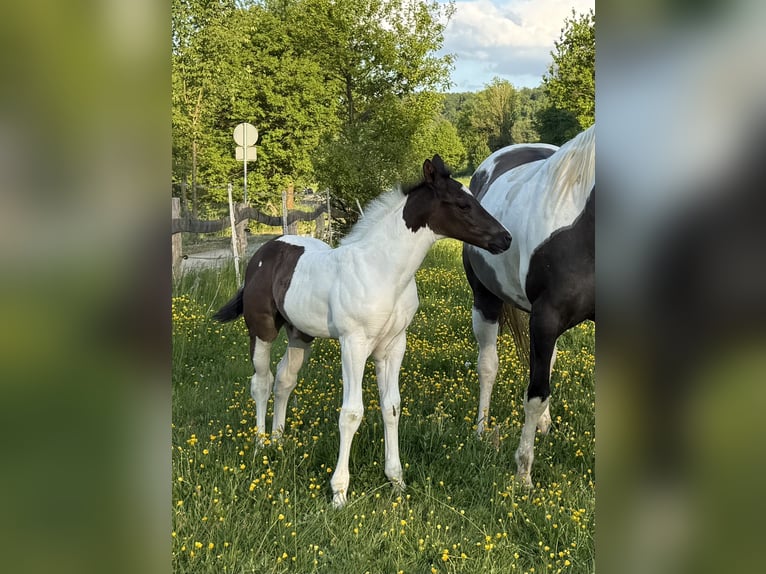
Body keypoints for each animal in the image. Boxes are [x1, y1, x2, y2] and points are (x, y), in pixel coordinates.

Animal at [213, 155, 511, 507]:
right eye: (463, 205)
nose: (505, 238)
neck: (384, 271)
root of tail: (263, 252)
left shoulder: (394, 345)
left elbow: (391, 407)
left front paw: (396, 481)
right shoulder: (353, 343)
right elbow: (351, 412)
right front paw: (339, 492)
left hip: (301, 334)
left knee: (285, 380)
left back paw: (278, 439)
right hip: (262, 330)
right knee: (261, 382)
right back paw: (261, 445)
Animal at [462, 126, 595, 488]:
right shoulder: (545, 319)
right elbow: (535, 395)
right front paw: (523, 474)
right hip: (485, 300)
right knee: (488, 365)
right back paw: (481, 429)